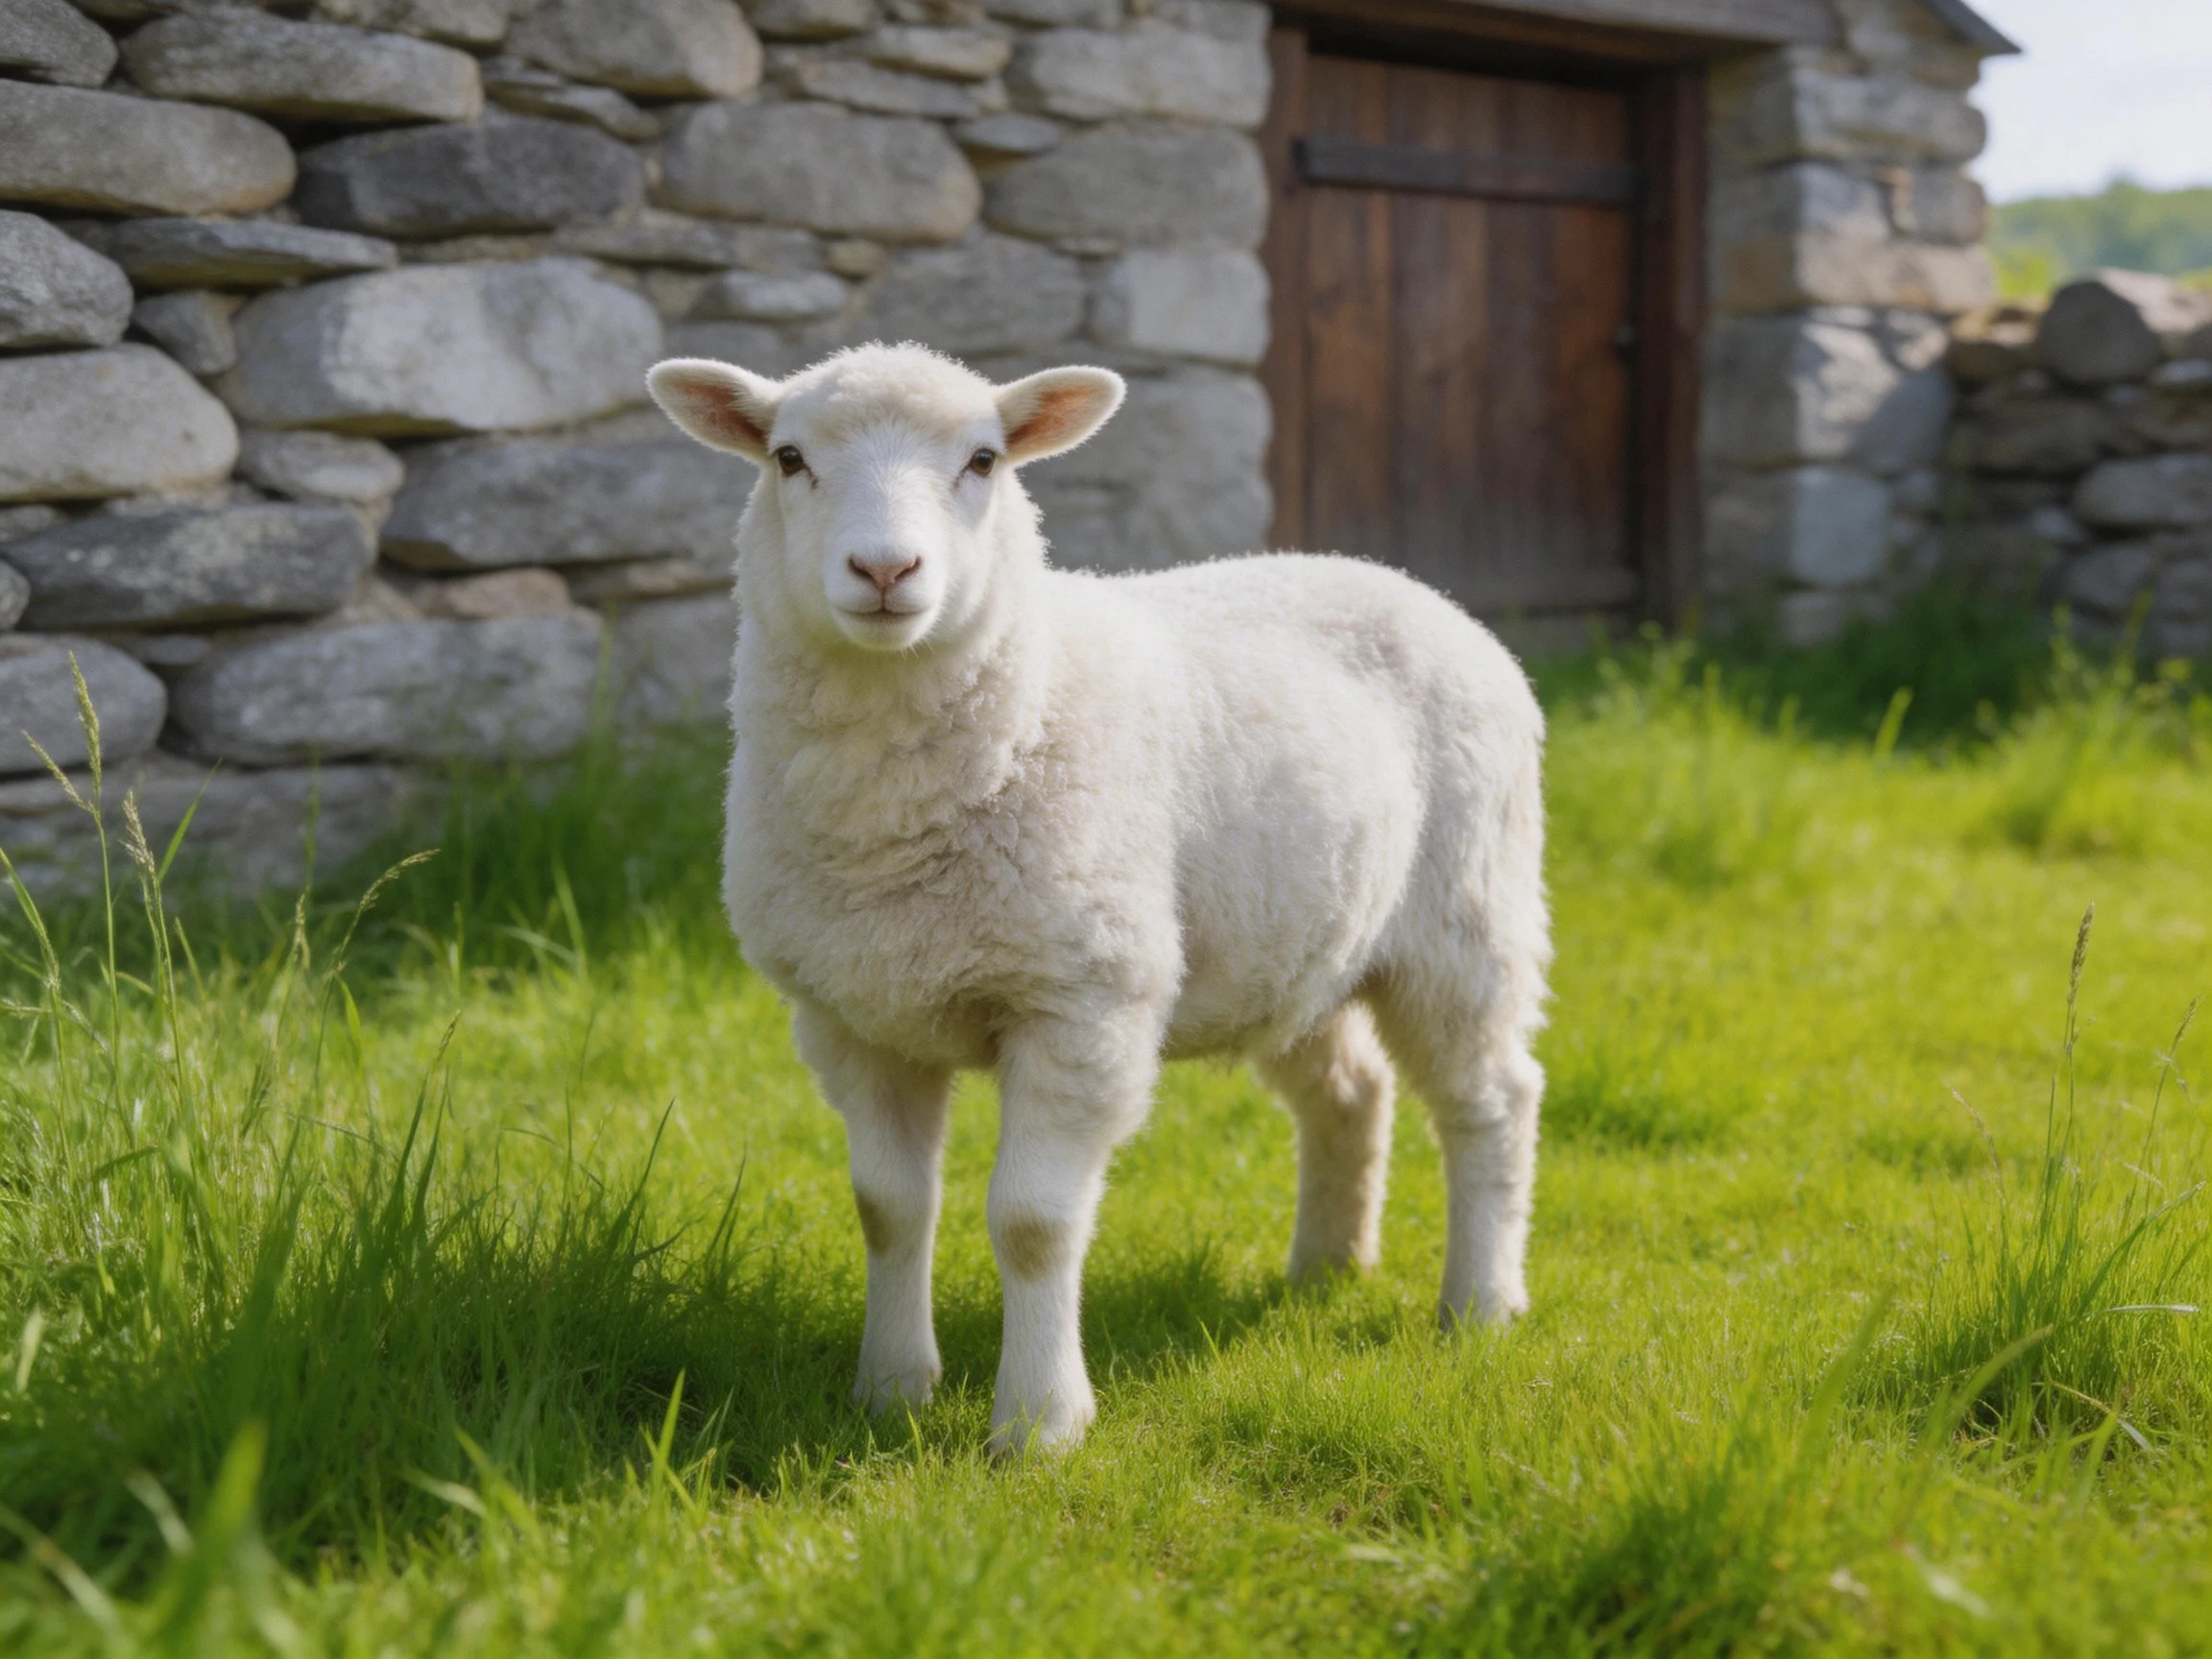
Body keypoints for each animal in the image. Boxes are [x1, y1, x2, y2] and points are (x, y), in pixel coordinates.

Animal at [647, 343, 1551, 1455]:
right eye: (788, 458)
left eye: (983, 460)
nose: (886, 572)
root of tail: (1404, 581)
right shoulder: (856, 1017)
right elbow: (888, 1209)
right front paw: (891, 1389)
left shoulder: (1080, 1002)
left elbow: (1034, 1224)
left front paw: (1038, 1425)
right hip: (1292, 939)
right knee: (1350, 1091)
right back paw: (1326, 1268)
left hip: (1466, 916)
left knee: (1492, 1100)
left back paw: (1480, 1303)